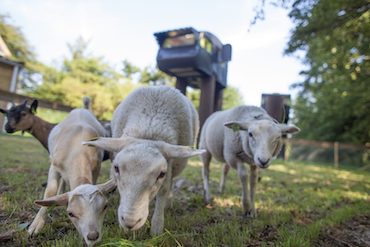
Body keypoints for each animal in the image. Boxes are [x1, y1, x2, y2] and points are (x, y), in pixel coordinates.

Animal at [27, 98, 112, 247]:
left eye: (105, 206)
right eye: (70, 213)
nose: (93, 236)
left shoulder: (97, 167)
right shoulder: (54, 165)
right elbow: (50, 191)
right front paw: (36, 225)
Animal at [82, 86, 204, 234]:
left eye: (161, 174)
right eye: (116, 168)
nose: (130, 222)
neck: (149, 129)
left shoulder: (169, 167)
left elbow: (163, 191)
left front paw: (156, 228)